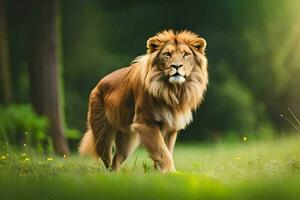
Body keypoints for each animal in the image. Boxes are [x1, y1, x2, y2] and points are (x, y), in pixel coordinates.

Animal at [78, 29, 207, 172]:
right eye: (167, 54)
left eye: (186, 54)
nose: (176, 66)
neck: (173, 90)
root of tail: (97, 85)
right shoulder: (146, 122)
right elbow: (162, 151)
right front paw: (171, 172)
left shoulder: (171, 126)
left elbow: (166, 150)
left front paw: (160, 173)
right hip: (102, 136)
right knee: (107, 159)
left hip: (126, 140)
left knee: (117, 159)